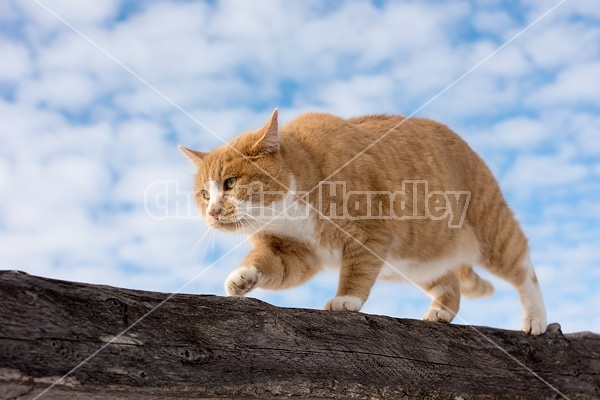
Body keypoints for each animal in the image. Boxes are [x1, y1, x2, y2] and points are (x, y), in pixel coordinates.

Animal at [179, 108, 548, 334]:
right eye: (204, 194)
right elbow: (267, 265)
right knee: (449, 282)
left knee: (524, 269)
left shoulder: (371, 232)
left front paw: (347, 300)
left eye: (229, 183)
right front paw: (242, 278)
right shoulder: (294, 255)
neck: (288, 213)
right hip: (418, 262)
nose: (212, 212)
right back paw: (440, 312)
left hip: (491, 231)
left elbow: (357, 270)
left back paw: (535, 320)